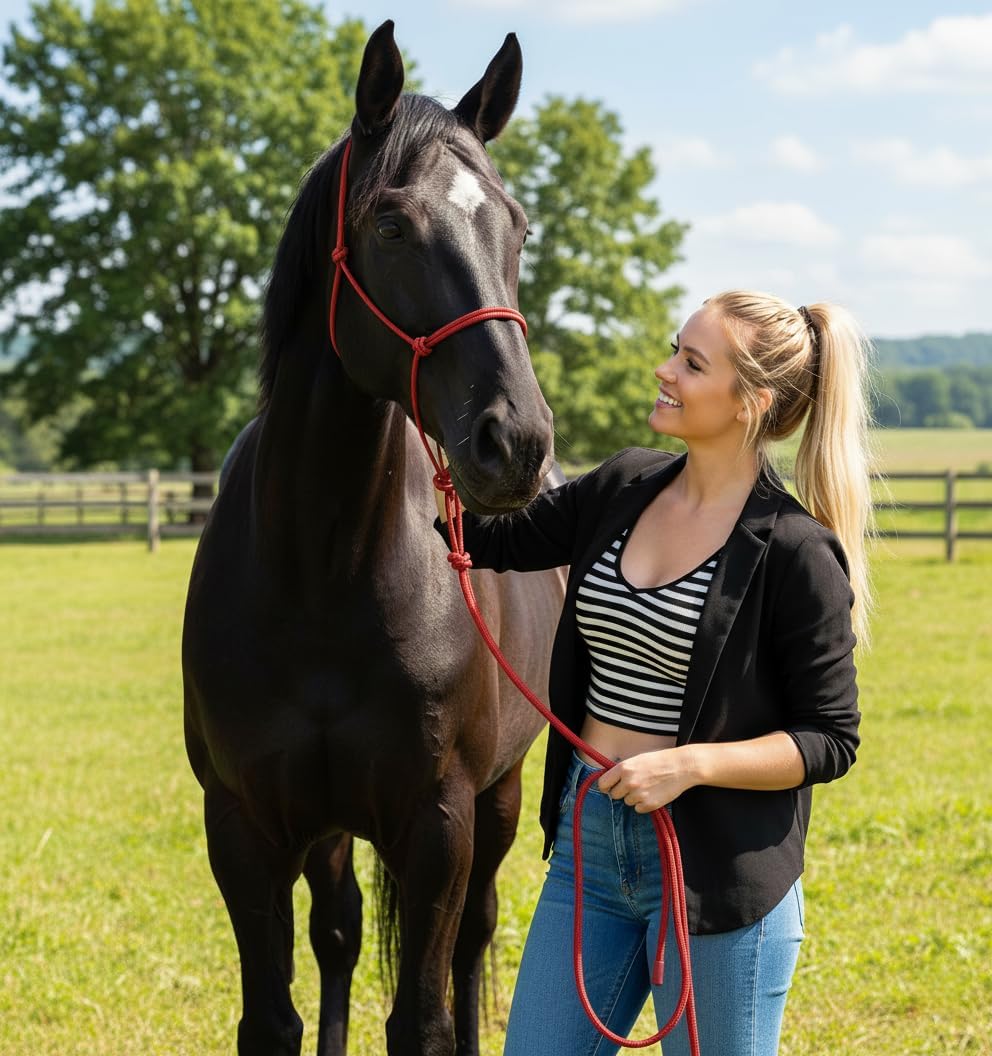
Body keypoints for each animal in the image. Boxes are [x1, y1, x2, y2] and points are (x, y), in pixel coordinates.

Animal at [182, 21, 565, 1056]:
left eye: (517, 226)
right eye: (391, 226)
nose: (516, 440)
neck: (323, 570)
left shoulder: (438, 826)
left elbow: (423, 1018)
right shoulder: (247, 828)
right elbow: (276, 1013)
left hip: (500, 800)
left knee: (475, 938)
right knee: (342, 932)